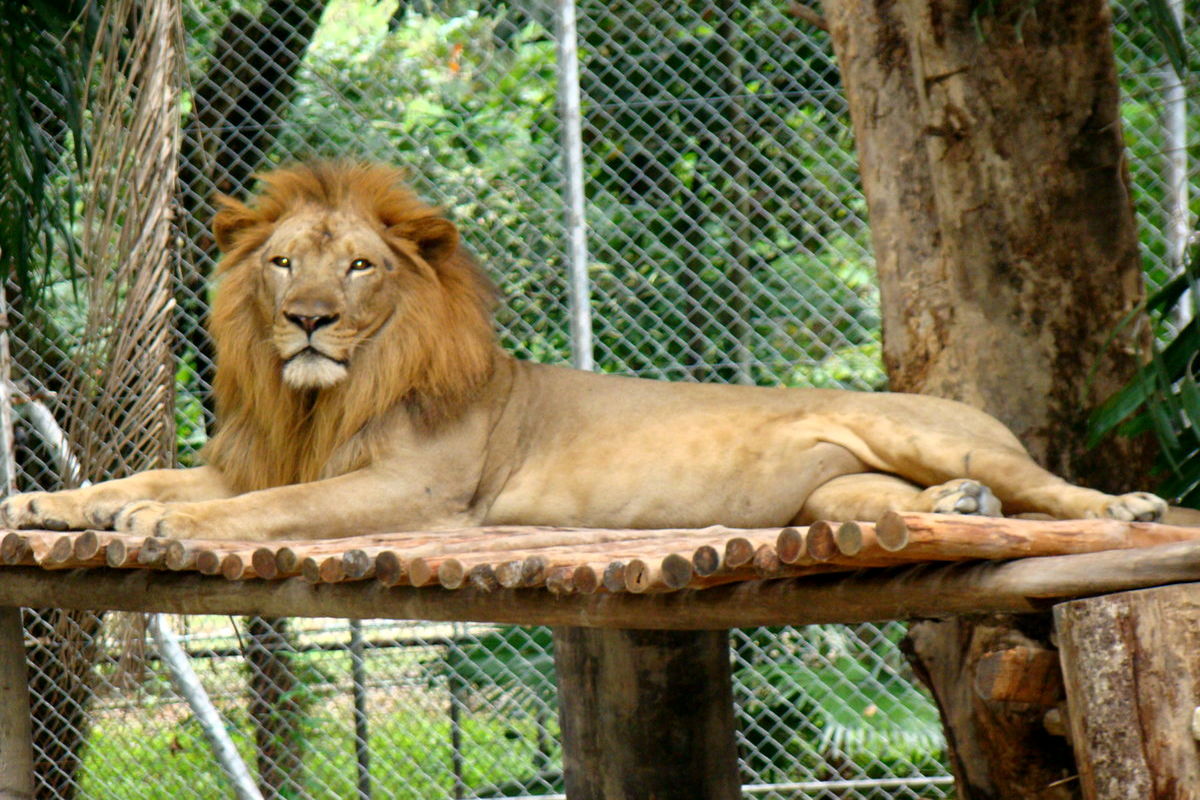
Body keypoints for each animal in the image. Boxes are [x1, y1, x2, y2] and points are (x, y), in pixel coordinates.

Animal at [0, 159, 1161, 542]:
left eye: (360, 269)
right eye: (284, 264)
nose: (310, 322)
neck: (321, 396)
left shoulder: (414, 490)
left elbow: (268, 508)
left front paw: (162, 521)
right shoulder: (261, 453)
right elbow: (144, 473)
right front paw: (49, 501)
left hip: (926, 428)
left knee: (1049, 486)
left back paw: (1125, 507)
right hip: (835, 492)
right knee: (902, 499)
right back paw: (961, 510)